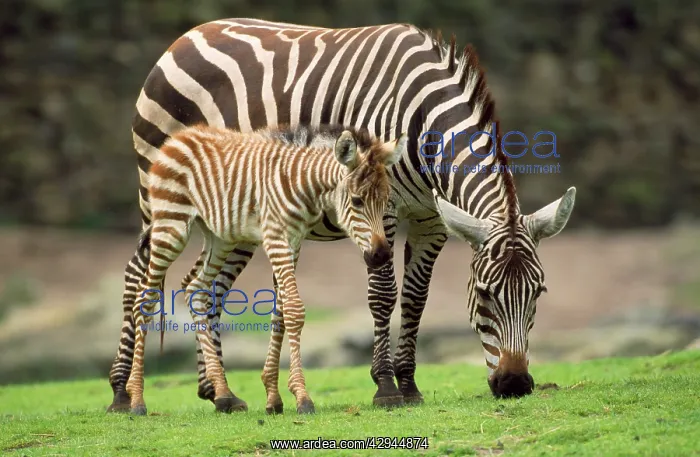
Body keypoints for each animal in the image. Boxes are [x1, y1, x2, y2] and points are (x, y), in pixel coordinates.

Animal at [126, 123, 406, 415]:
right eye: (357, 201)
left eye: (386, 200)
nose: (381, 256)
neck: (303, 185)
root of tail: (181, 136)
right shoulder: (275, 238)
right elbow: (294, 309)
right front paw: (302, 397)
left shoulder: (294, 242)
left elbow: (280, 312)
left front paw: (274, 397)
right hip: (172, 226)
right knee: (144, 301)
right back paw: (137, 399)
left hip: (220, 236)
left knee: (197, 290)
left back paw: (223, 393)